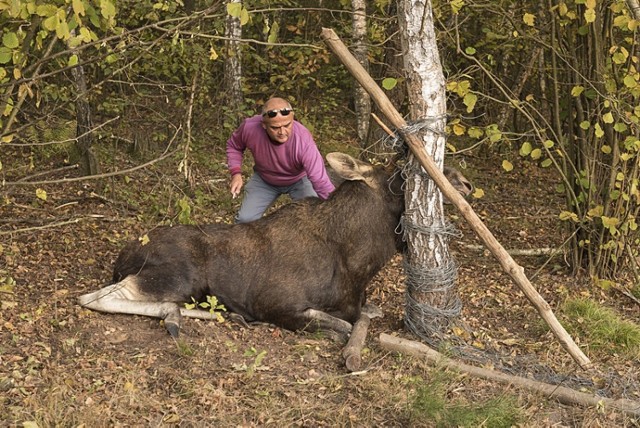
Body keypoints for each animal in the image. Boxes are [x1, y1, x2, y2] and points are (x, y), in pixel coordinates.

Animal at [77, 153, 472, 338]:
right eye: (401, 169)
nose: (464, 182)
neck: (358, 264)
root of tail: (123, 255)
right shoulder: (280, 304)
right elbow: (339, 325)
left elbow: (362, 314)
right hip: (177, 276)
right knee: (93, 297)